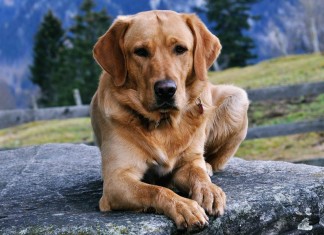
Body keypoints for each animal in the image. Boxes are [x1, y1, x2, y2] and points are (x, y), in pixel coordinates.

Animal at [90, 10, 249, 230]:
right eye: (140, 51)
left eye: (180, 49)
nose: (166, 89)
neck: (163, 123)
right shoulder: (116, 179)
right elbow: (155, 190)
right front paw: (183, 205)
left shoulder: (188, 162)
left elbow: (197, 174)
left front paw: (209, 190)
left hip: (237, 99)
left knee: (214, 161)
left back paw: (208, 167)